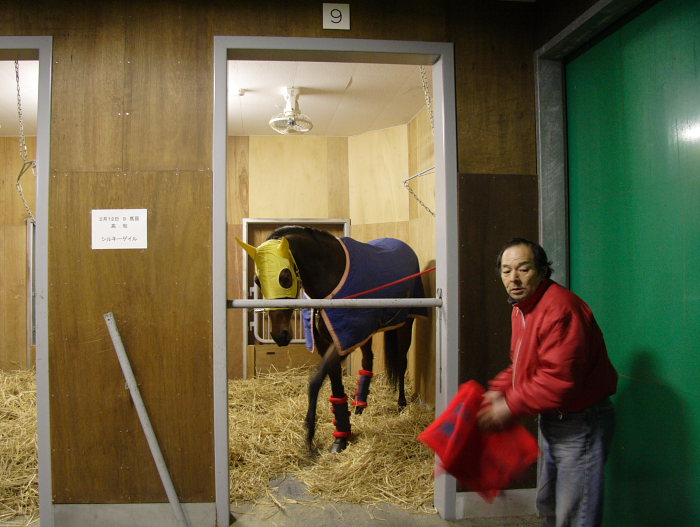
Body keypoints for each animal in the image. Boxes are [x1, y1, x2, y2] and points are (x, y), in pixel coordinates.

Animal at [238, 226, 426, 454]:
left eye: (285, 278)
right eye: (258, 281)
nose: (278, 335)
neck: (331, 278)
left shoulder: (343, 341)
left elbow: (315, 382)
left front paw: (311, 434)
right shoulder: (329, 342)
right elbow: (334, 384)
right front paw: (341, 437)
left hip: (405, 324)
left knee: (401, 362)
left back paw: (401, 403)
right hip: (365, 334)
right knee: (368, 361)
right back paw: (359, 406)